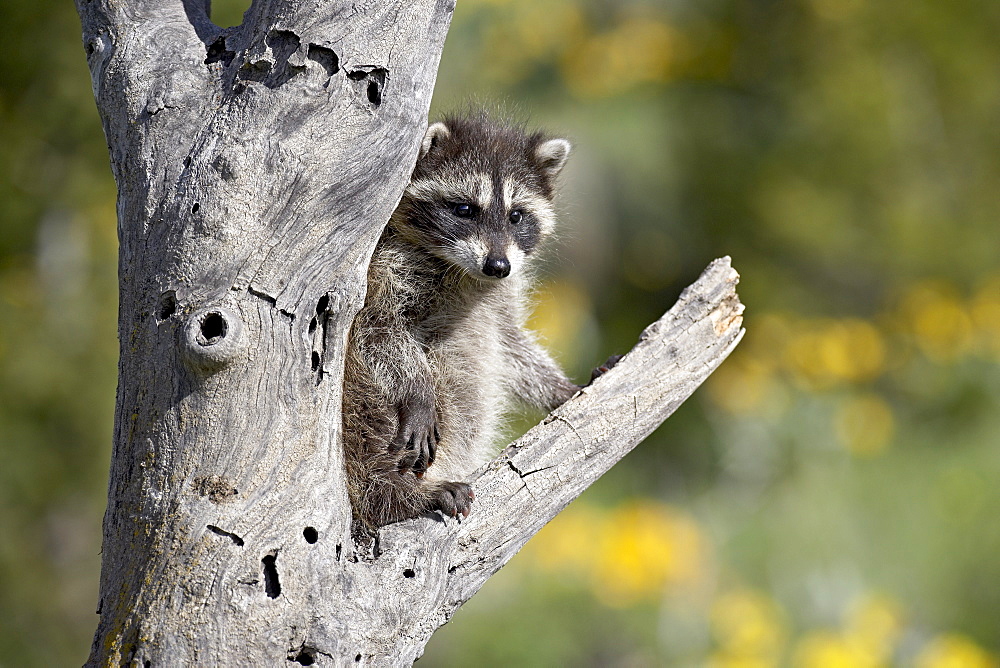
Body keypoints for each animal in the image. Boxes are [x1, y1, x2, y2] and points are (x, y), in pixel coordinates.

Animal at [342, 116, 580, 532]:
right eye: (465, 208)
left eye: (516, 216)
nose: (497, 265)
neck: (464, 271)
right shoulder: (383, 266)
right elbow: (378, 330)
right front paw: (419, 394)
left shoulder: (501, 293)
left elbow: (510, 345)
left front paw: (559, 388)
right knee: (369, 417)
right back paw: (395, 494)